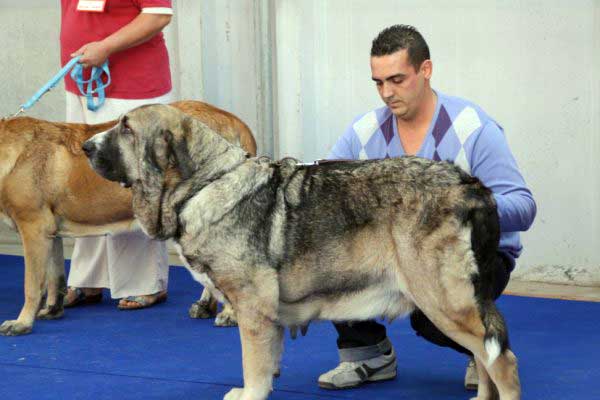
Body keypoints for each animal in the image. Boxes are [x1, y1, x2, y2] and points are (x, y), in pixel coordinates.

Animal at [0, 100, 255, 334]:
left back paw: (230, 314)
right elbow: (55, 277)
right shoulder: (50, 232)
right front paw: (53, 310)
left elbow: (32, 284)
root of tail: (231, 118)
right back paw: (205, 306)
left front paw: (21, 323)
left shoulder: (33, 228)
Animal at [83, 104, 520, 400]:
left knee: (502, 362)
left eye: (126, 128)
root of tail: (467, 185)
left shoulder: (252, 311)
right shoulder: (266, 316)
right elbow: (267, 364)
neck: (204, 184)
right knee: (486, 360)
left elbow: (253, 369)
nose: (86, 146)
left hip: (443, 304)